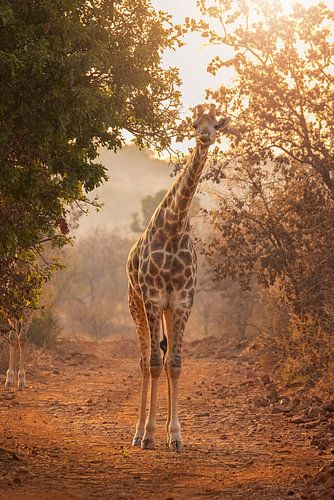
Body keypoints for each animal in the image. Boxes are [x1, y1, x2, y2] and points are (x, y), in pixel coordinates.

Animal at [126, 103, 231, 452]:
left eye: (215, 125)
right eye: (196, 123)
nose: (205, 136)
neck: (174, 227)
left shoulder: (183, 301)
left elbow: (175, 364)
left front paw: (175, 436)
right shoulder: (153, 297)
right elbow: (155, 364)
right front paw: (149, 435)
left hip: (168, 310)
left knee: (163, 355)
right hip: (135, 304)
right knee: (144, 361)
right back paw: (137, 433)